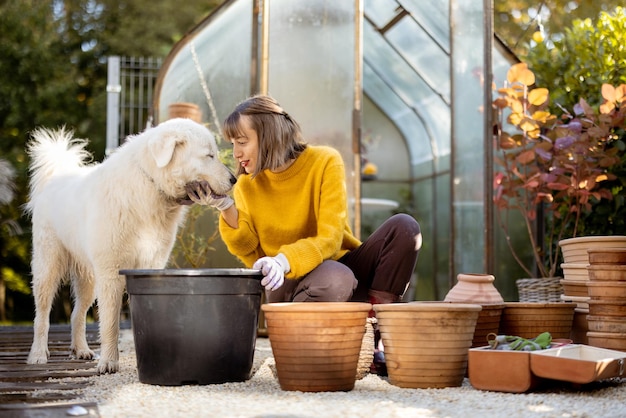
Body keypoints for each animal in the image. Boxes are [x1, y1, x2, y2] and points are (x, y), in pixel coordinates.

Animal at [23, 117, 234, 372]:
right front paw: (108, 362)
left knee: (77, 314)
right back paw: (37, 354)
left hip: (89, 279)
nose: (234, 179)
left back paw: (81, 350)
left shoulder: (149, 266)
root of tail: (57, 176)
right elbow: (110, 323)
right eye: (209, 155)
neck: (150, 186)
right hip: (48, 268)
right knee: (42, 315)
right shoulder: (111, 272)